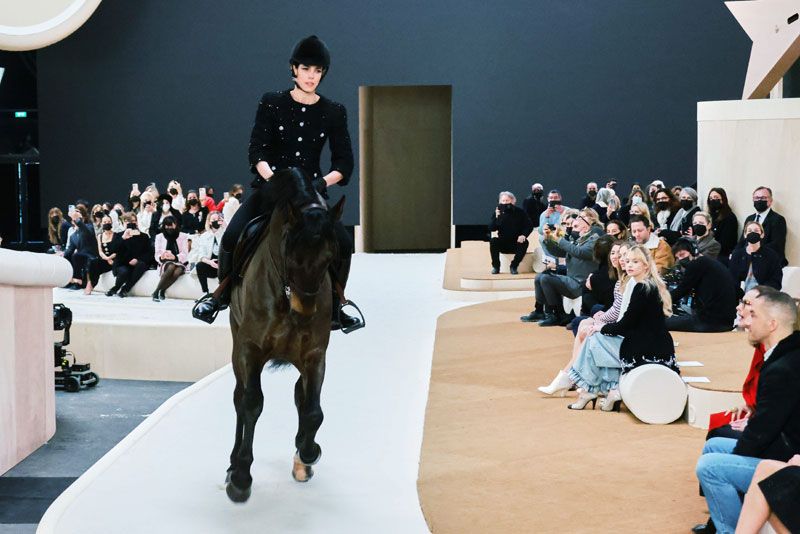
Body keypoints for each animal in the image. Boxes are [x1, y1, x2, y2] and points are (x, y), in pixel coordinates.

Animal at [222, 170, 344, 504]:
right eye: (289, 251)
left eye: (331, 255)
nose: (305, 309)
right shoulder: (250, 350)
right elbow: (251, 403)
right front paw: (240, 478)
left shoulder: (315, 354)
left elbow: (313, 410)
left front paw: (307, 453)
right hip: (236, 345)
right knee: (239, 397)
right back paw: (231, 464)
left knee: (300, 394)